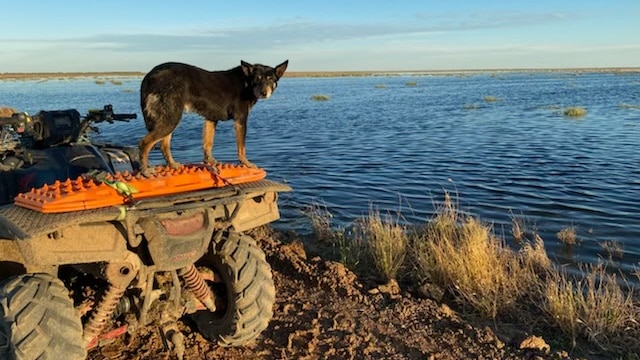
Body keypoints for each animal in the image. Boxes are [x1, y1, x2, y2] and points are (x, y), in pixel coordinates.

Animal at [141, 59, 292, 176]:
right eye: (257, 79)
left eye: (270, 79)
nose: (264, 93)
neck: (246, 82)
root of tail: (151, 75)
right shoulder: (240, 120)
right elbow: (241, 147)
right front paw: (246, 163)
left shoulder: (211, 119)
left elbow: (208, 143)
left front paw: (210, 162)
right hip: (172, 118)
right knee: (144, 143)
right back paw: (144, 170)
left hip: (170, 118)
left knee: (163, 145)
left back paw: (172, 164)